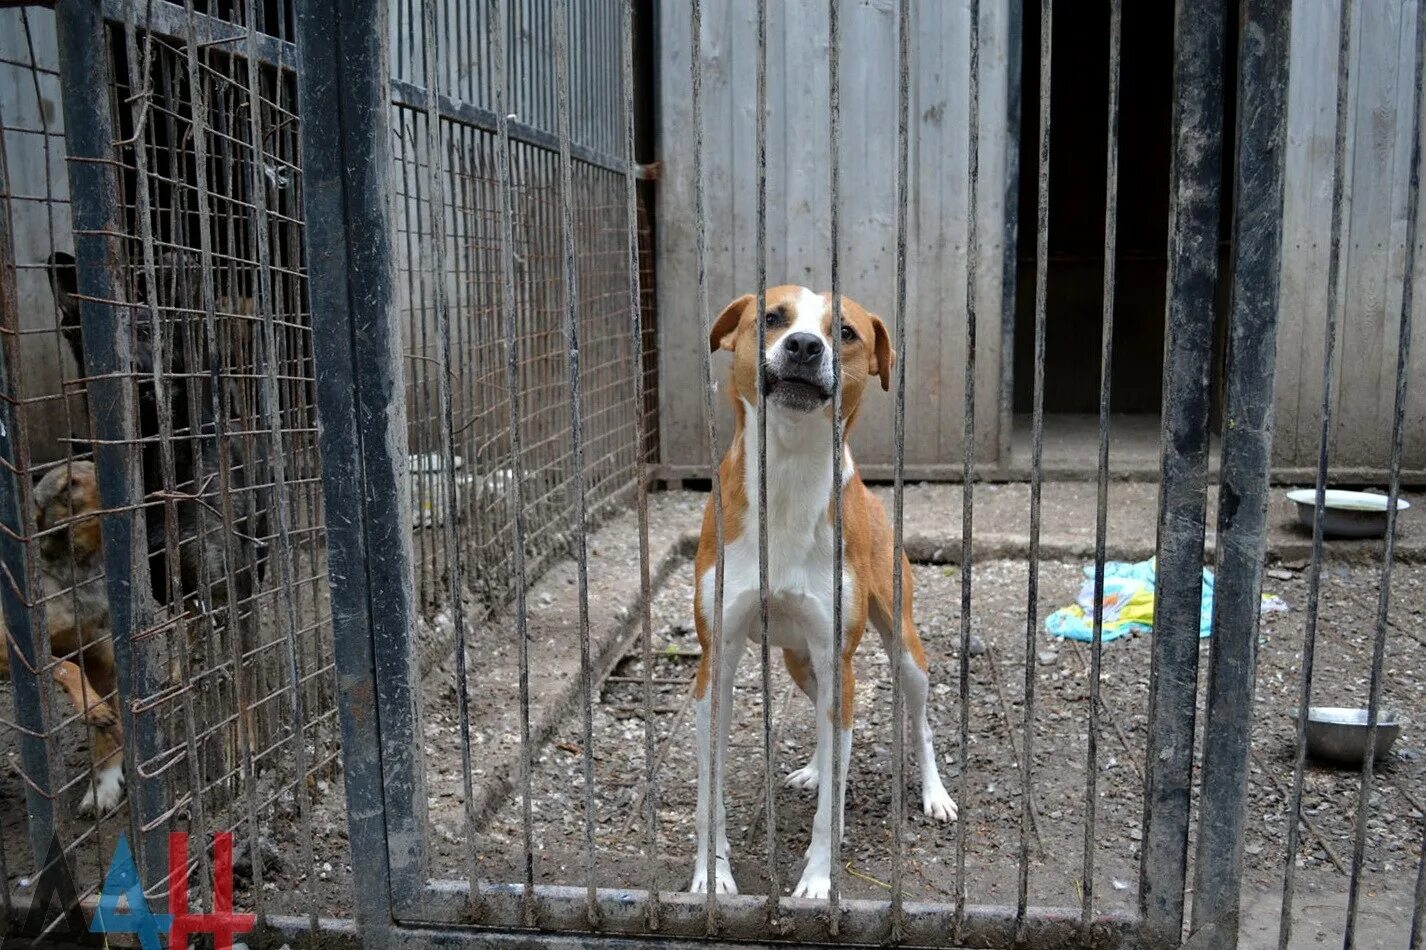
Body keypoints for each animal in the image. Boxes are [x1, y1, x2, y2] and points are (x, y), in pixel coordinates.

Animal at [690, 282, 958, 895]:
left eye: (846, 332)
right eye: (771, 318)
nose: (805, 346)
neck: (789, 477)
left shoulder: (839, 654)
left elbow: (832, 801)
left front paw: (818, 880)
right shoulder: (716, 664)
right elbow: (709, 796)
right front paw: (713, 877)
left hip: (904, 651)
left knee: (919, 724)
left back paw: (934, 794)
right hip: (800, 660)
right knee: (829, 724)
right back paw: (818, 767)